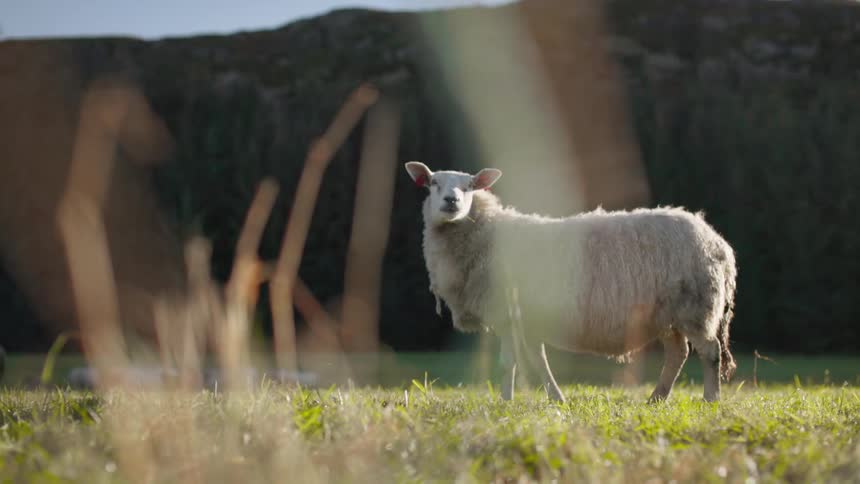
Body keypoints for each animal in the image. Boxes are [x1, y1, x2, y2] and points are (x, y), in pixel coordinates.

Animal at [404, 161, 738, 403]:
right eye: (433, 183)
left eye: (469, 186)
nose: (451, 201)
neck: (483, 233)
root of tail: (717, 241)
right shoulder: (521, 317)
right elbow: (532, 361)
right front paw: (546, 399)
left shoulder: (507, 312)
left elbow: (509, 363)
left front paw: (509, 402)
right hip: (668, 314)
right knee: (677, 355)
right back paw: (657, 398)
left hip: (696, 306)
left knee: (710, 352)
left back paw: (710, 400)